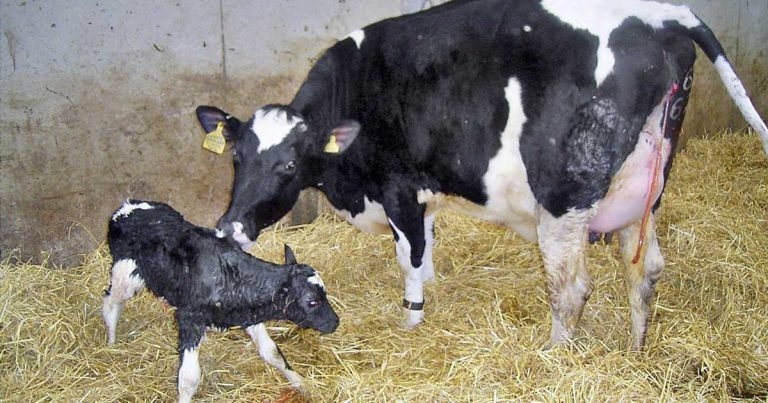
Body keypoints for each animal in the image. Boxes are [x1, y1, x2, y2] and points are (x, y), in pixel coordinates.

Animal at [103, 200, 339, 402]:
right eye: (312, 302)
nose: (335, 322)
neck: (229, 275)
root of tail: (127, 206)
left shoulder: (248, 314)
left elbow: (272, 352)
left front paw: (301, 384)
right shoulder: (190, 318)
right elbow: (189, 378)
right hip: (126, 273)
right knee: (111, 303)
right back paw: (112, 343)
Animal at [195, 0, 768, 351]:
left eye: (288, 165)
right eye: (237, 158)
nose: (229, 227)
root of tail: (660, 15)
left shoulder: (399, 189)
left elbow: (409, 259)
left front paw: (412, 320)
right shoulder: (424, 194)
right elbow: (427, 249)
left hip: (565, 196)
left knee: (570, 288)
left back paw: (555, 357)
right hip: (645, 183)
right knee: (643, 270)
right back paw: (635, 350)